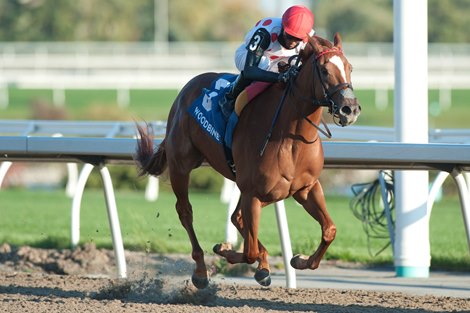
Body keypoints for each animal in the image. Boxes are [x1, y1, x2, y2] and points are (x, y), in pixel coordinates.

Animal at [134, 33, 362, 288]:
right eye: (323, 70)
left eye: (350, 68)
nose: (350, 109)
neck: (290, 137)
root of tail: (185, 91)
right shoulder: (253, 193)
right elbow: (249, 250)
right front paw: (228, 251)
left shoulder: (305, 188)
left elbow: (329, 229)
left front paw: (300, 259)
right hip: (181, 166)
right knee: (186, 212)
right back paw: (201, 271)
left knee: (237, 217)